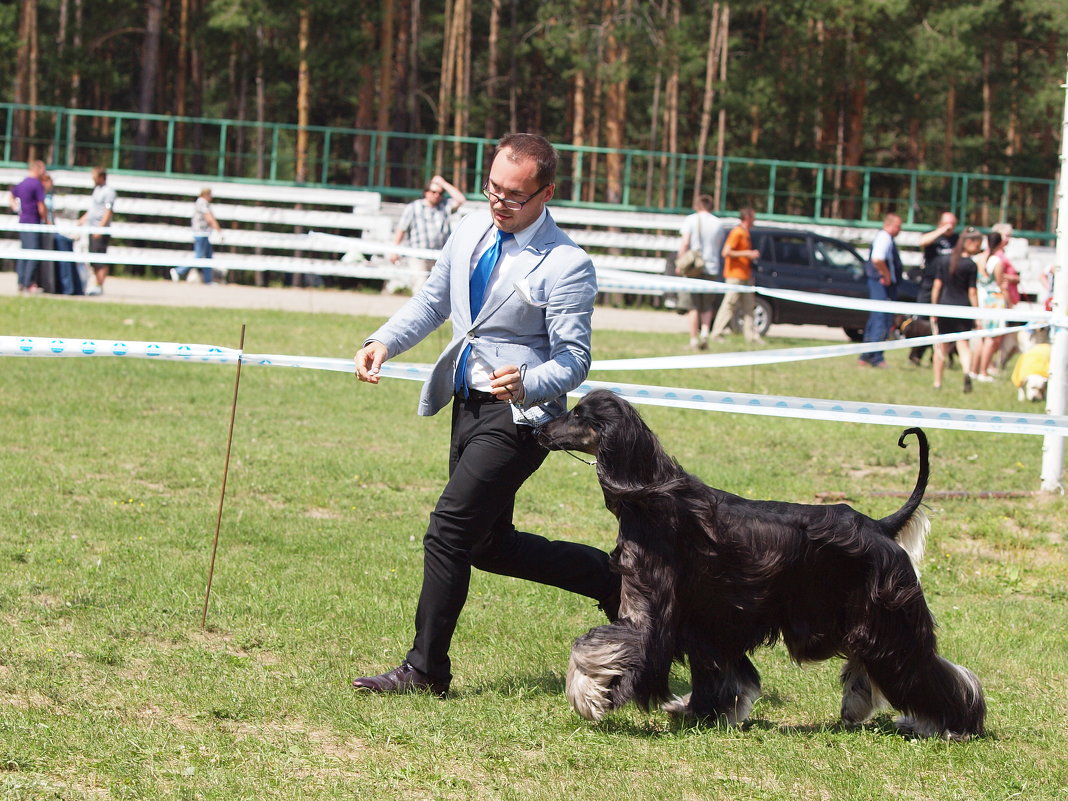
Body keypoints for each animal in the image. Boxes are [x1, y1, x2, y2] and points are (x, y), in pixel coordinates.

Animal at [538, 393, 986, 743]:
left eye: (578, 414)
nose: (538, 430)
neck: (651, 495)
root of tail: (879, 525)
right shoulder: (709, 619)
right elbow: (725, 676)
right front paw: (701, 711)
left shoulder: (654, 603)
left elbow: (597, 645)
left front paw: (589, 697)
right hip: (862, 614)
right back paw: (862, 704)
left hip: (888, 614)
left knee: (924, 669)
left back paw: (952, 724)